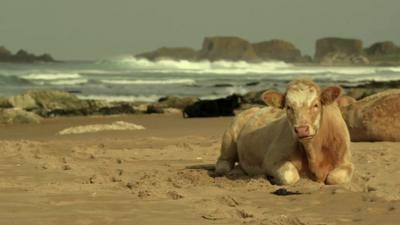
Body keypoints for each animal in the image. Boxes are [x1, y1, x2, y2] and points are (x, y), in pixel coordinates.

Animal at [216, 80, 354, 185]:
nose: (301, 129)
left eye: (316, 105)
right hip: (229, 136)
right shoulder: (271, 159)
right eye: (288, 107)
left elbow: (334, 178)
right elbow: (291, 175)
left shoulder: (346, 161)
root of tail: (253, 109)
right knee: (223, 163)